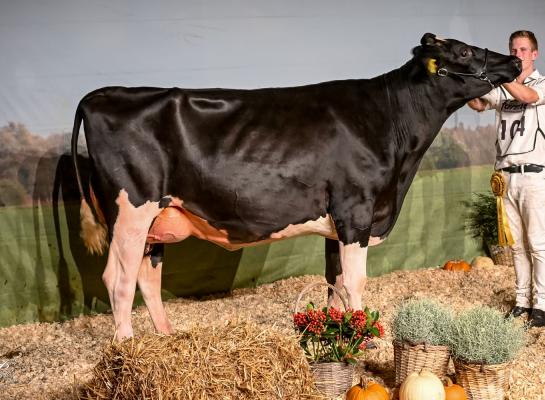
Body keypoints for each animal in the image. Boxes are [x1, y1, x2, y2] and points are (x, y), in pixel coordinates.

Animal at [72, 33, 520, 338]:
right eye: (463, 52)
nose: (515, 60)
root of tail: (100, 95)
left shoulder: (337, 223)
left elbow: (334, 286)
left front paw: (341, 336)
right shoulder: (355, 211)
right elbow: (355, 283)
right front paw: (366, 340)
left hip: (157, 217)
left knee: (147, 278)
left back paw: (166, 339)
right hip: (132, 210)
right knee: (118, 280)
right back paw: (126, 348)